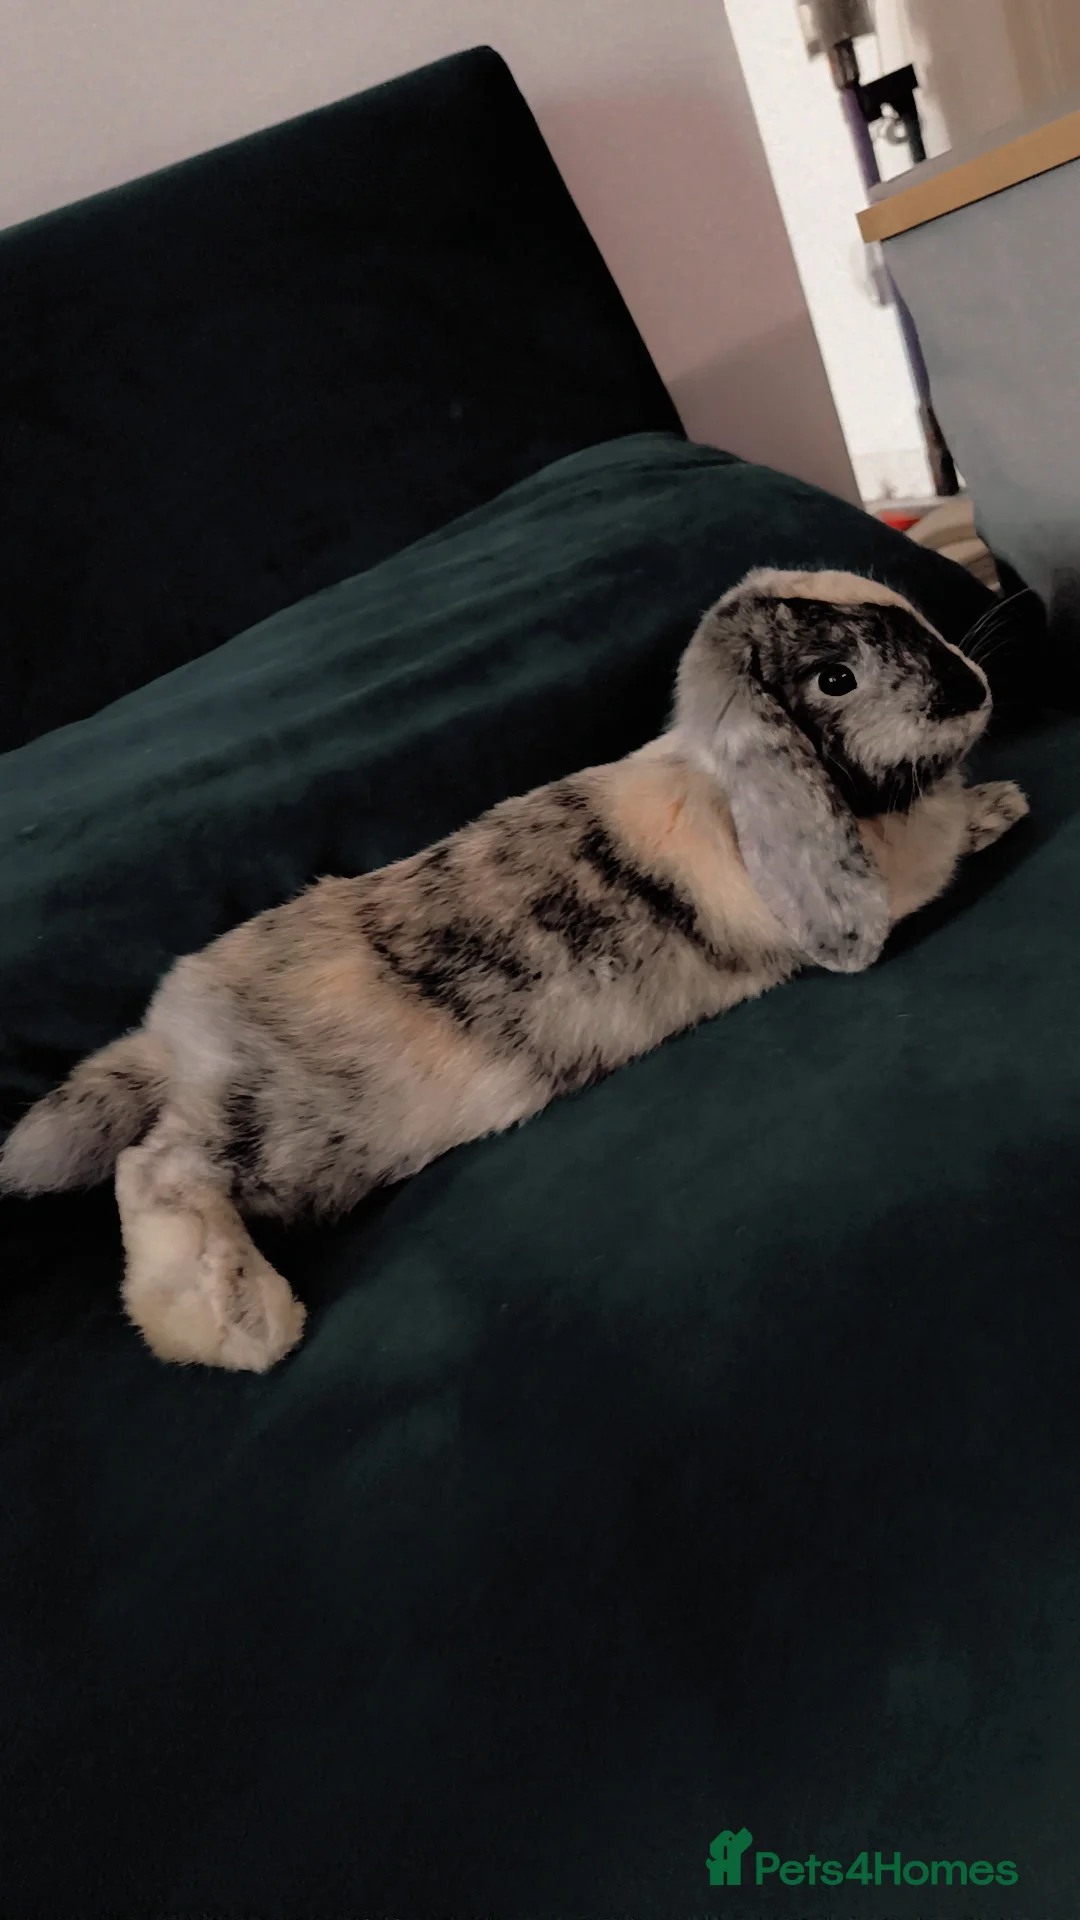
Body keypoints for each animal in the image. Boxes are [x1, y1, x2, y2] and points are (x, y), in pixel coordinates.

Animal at [0, 568, 1028, 1374]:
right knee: (154, 1169)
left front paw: (1001, 802)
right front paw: (997, 809)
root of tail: (170, 1038)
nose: (969, 688)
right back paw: (243, 1319)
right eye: (835, 678)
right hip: (278, 1138)